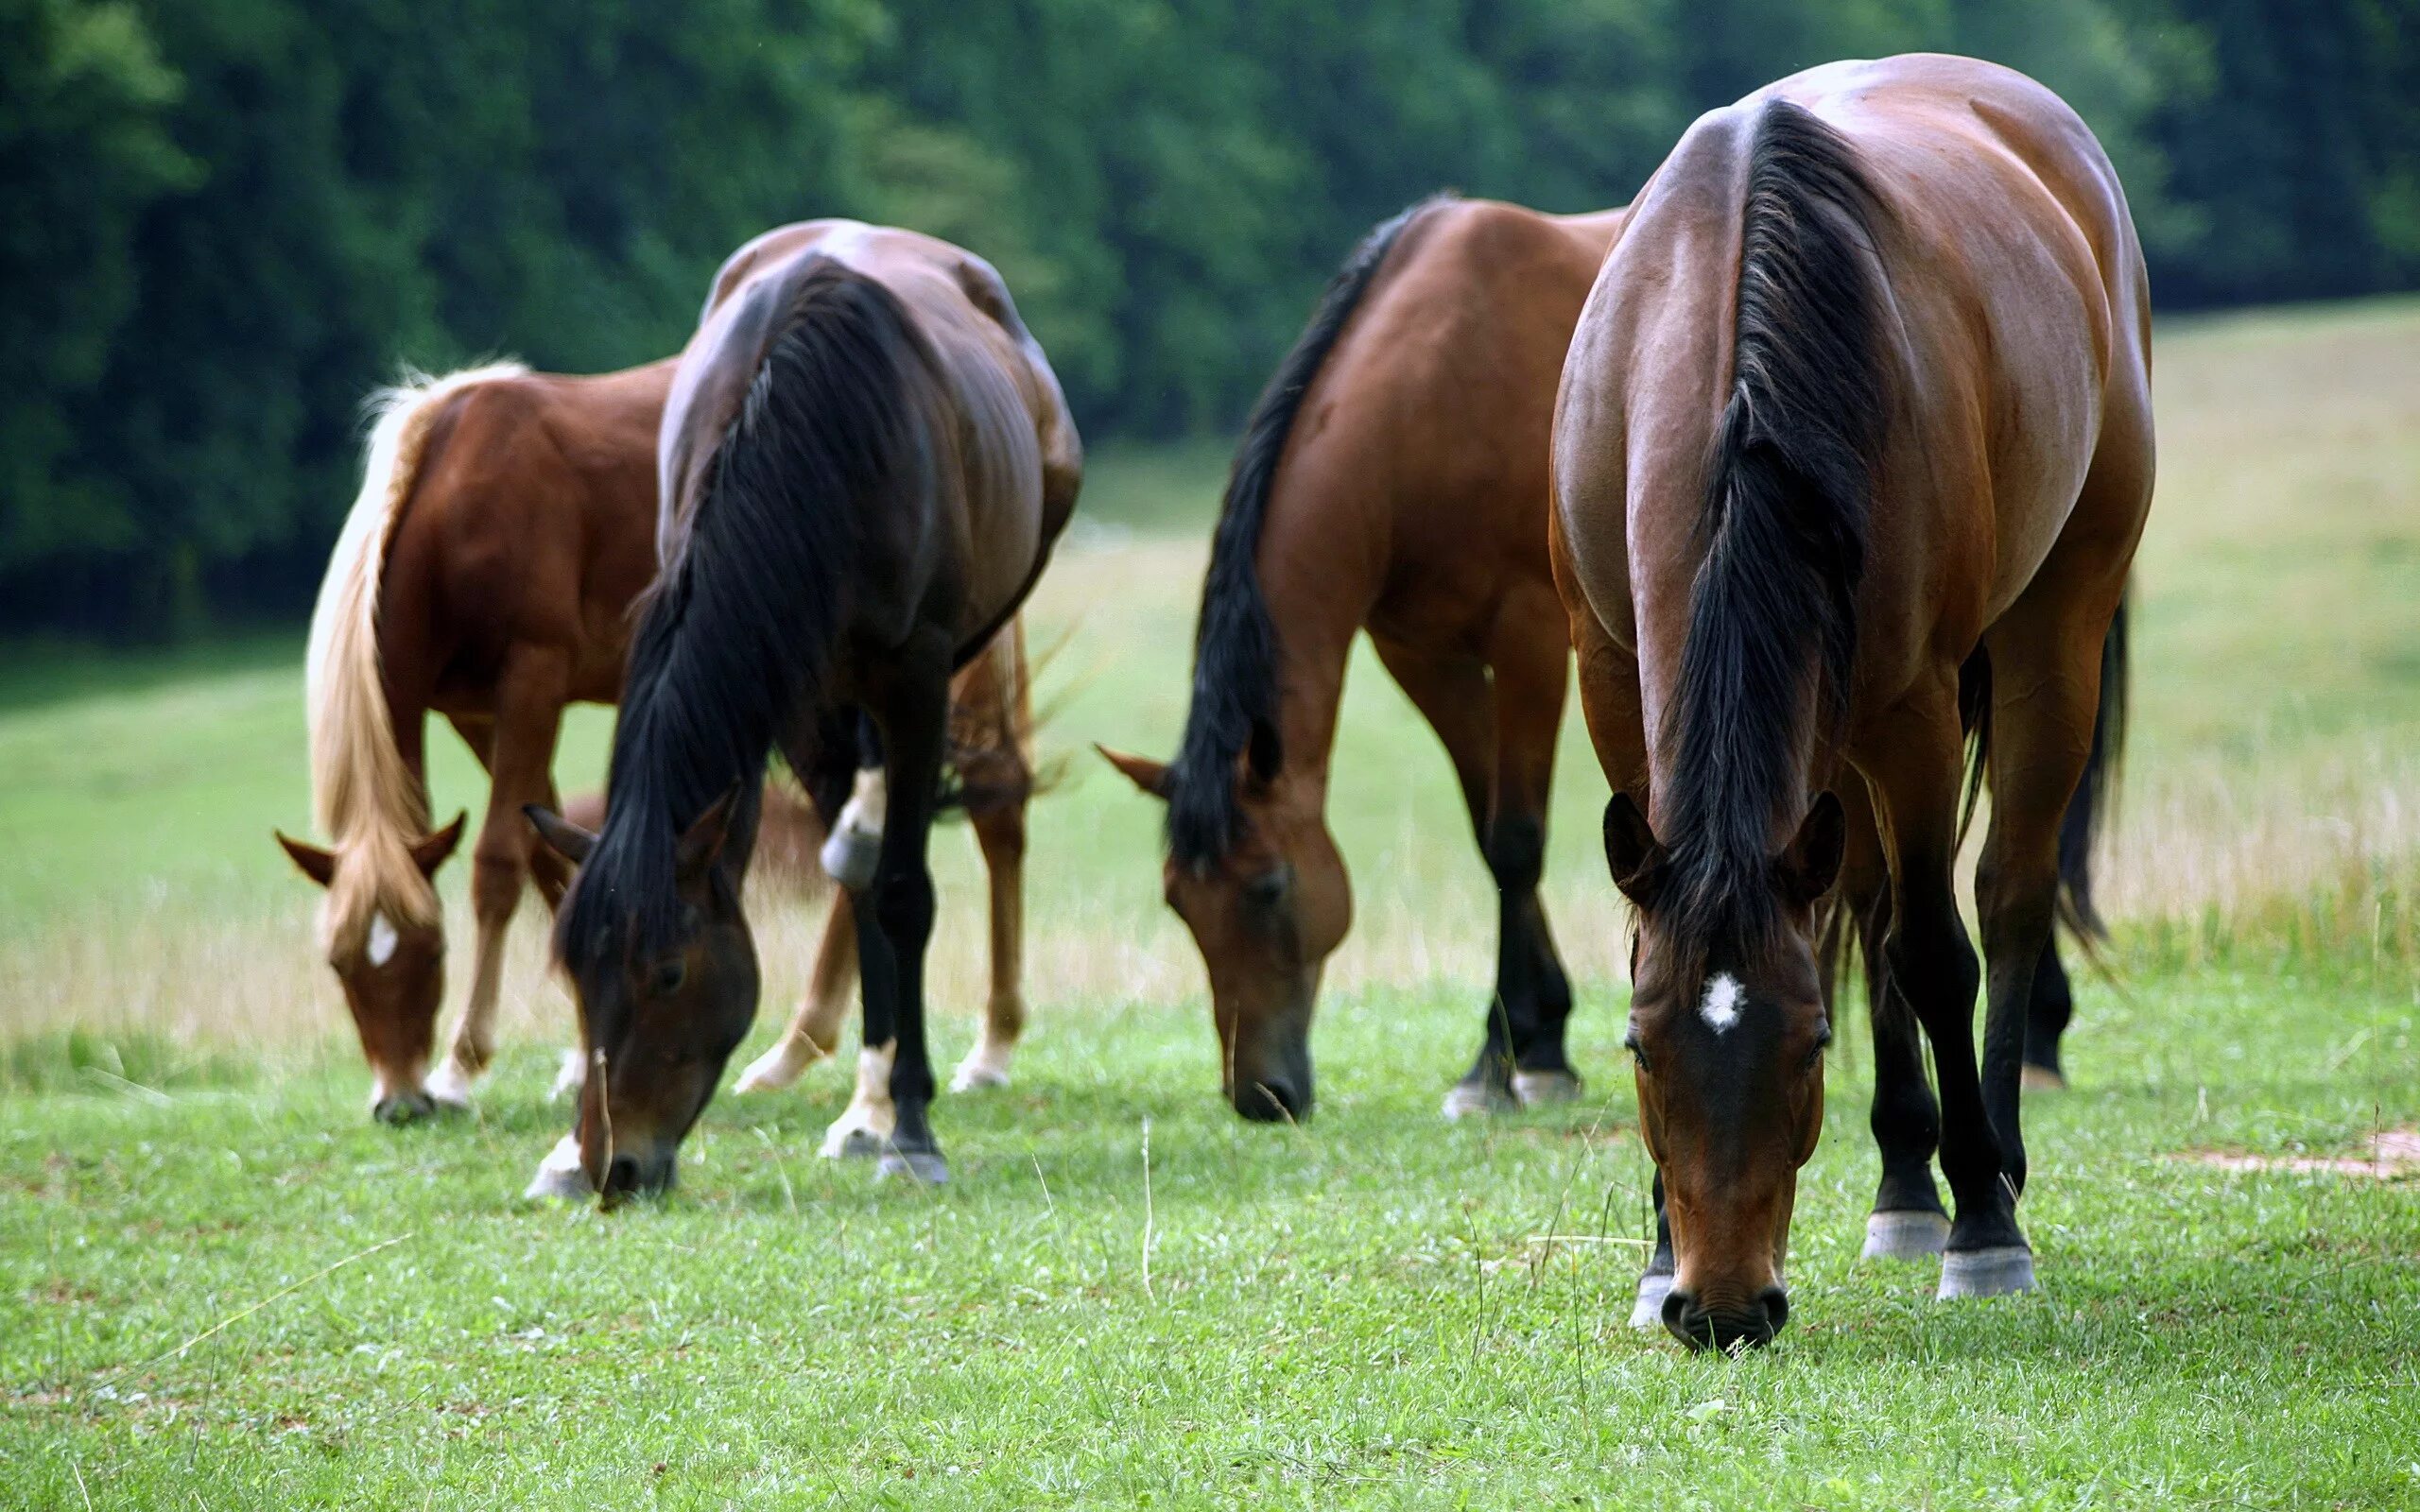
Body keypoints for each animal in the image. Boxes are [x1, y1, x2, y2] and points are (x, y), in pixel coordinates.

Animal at [277, 352, 1040, 1126]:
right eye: (338, 962)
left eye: (433, 952)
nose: (400, 1101)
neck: (452, 499)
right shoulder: (477, 714)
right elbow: (555, 860)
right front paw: (582, 1052)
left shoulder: (531, 681)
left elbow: (499, 865)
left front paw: (463, 1067)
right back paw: (800, 1049)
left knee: (992, 812)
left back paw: (985, 1048)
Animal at [529, 217, 1079, 1194]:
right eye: (574, 976)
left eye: (669, 975)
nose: (612, 1166)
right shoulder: (794, 692)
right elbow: (861, 896)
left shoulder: (915, 676)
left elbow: (901, 892)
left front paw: (910, 1129)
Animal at [1548, 53, 2158, 1345]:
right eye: (1638, 1045)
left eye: (1807, 1042)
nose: (1722, 1309)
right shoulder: (1612, 678)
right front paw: (1657, 1249)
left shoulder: (1914, 710)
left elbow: (1934, 952)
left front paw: (1984, 1229)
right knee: (1870, 901)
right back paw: (1902, 1183)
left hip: (2052, 629)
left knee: (2004, 893)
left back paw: (1987, 1168)